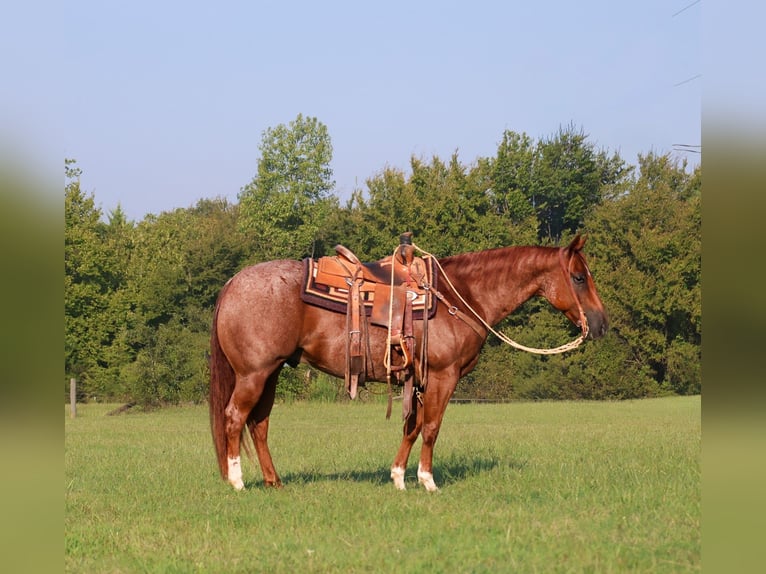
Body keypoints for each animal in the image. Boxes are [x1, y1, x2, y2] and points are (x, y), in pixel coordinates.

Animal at [209, 235, 608, 491]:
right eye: (578, 277)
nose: (601, 324)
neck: (460, 296)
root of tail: (231, 284)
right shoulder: (444, 376)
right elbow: (431, 427)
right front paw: (428, 482)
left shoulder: (418, 379)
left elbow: (411, 427)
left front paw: (399, 477)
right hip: (254, 374)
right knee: (234, 418)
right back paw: (237, 482)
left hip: (271, 373)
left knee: (259, 425)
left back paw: (273, 481)